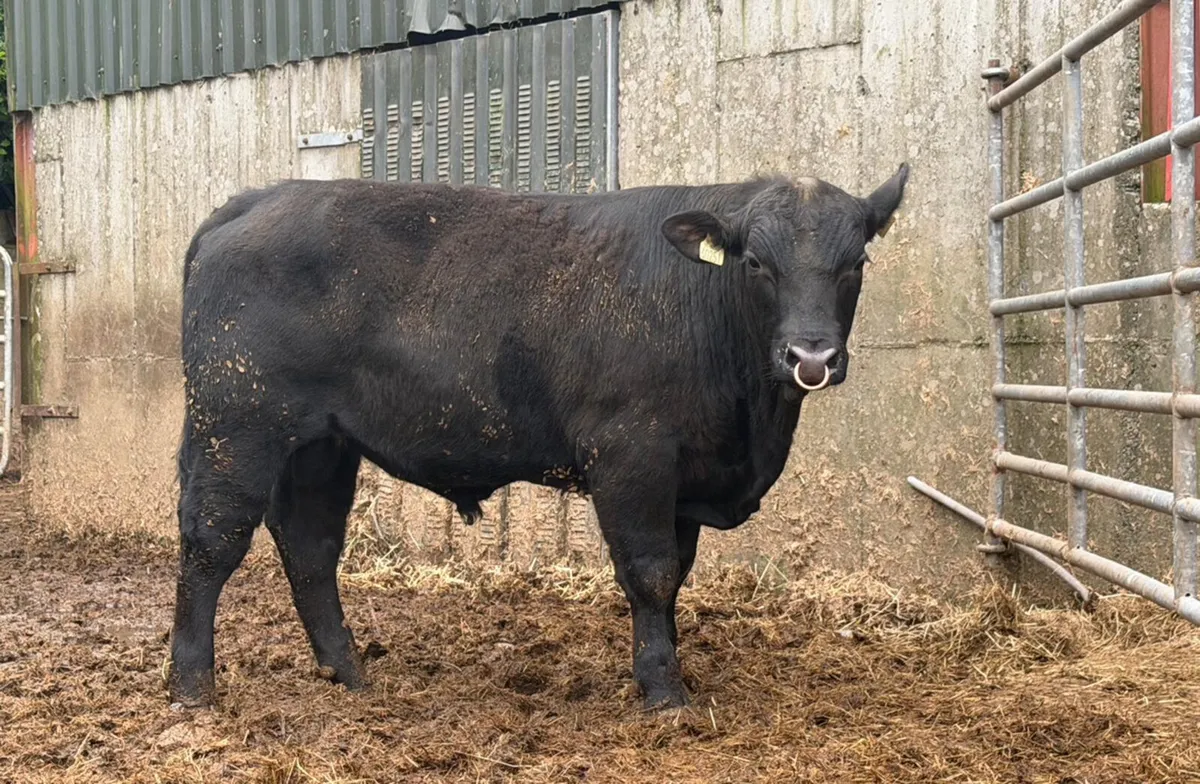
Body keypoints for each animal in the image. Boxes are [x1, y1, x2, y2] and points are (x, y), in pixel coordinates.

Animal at [168, 164, 909, 710]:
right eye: (755, 263)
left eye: (855, 262)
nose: (810, 356)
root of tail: (259, 198)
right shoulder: (632, 455)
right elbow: (650, 572)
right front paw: (664, 692)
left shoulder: (683, 479)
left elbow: (676, 575)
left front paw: (662, 667)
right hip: (238, 423)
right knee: (213, 540)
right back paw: (192, 685)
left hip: (320, 443)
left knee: (310, 546)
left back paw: (349, 674)